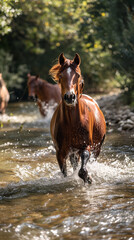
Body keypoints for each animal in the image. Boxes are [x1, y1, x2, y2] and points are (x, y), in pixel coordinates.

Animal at [49, 53, 106, 184]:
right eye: (61, 76)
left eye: (78, 75)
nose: (70, 97)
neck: (72, 122)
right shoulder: (60, 152)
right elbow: (65, 173)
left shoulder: (85, 146)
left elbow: (83, 170)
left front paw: (88, 179)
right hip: (72, 152)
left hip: (97, 148)